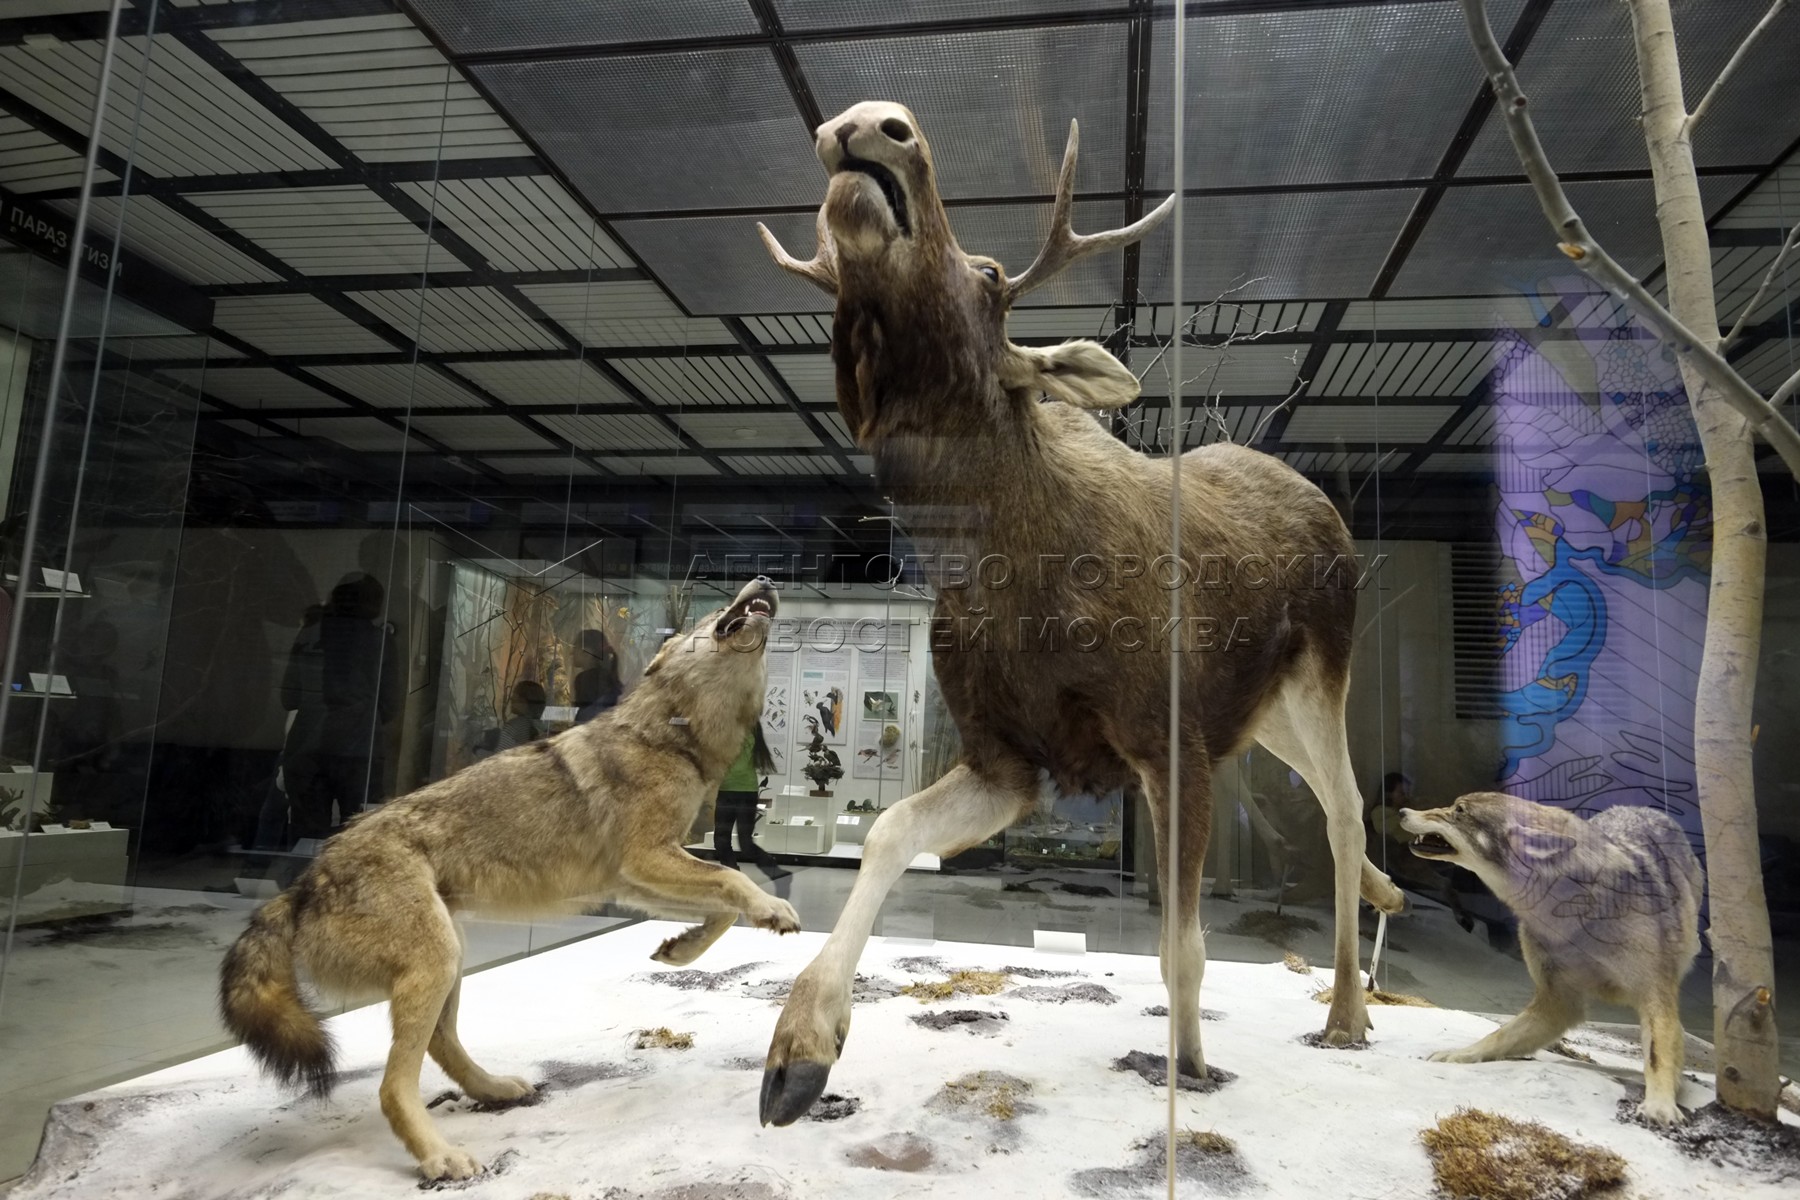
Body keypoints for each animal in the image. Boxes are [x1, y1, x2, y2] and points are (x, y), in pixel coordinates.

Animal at [219, 579, 795, 1180]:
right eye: (718, 610)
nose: (768, 582)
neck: (673, 738)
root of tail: (302, 886)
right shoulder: (647, 859)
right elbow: (730, 879)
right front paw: (773, 910)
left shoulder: (630, 880)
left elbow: (722, 908)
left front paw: (680, 949)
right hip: (437, 960)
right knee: (393, 1086)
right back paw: (441, 1156)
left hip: (451, 956)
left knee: (442, 1045)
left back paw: (494, 1090)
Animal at [1404, 798, 1699, 1129]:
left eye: (1459, 810)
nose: (1402, 812)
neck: (1577, 918)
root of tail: (1640, 808)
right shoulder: (1558, 1002)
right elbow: (1498, 1035)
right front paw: (1459, 1054)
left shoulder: (1655, 997)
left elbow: (1658, 1053)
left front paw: (1660, 1106)